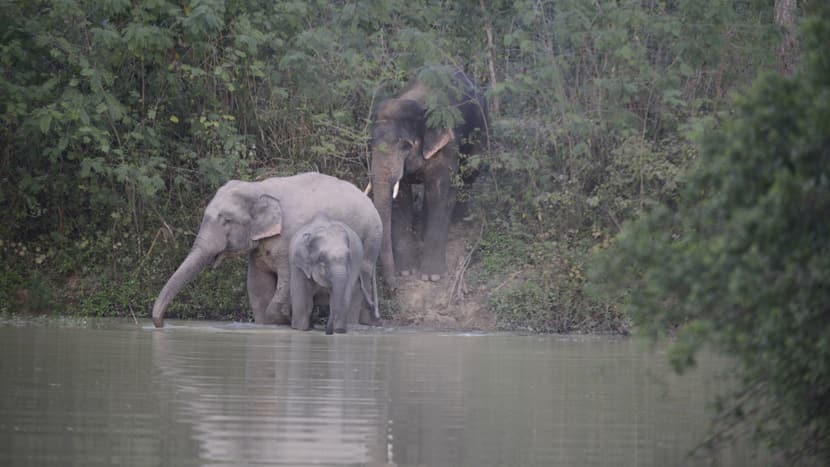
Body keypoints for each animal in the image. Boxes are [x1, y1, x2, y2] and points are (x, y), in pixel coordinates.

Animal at [152, 172, 384, 330]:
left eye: (226, 221)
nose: (161, 324)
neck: (258, 188)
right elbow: (257, 287)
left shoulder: (289, 237)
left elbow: (285, 284)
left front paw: (282, 319)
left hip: (369, 242)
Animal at [368, 65, 488, 286]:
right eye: (371, 144)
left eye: (405, 146)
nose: (393, 287)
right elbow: (401, 199)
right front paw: (406, 272)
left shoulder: (447, 145)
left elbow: (439, 194)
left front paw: (432, 276)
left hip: (482, 126)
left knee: (471, 170)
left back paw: (458, 220)